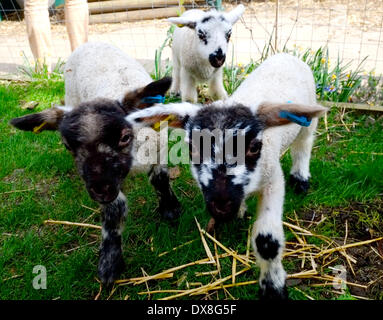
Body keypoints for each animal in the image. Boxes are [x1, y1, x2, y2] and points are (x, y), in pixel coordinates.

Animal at [127, 53, 328, 300]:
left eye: (253, 147)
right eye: (193, 148)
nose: (221, 206)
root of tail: (286, 55)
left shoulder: (273, 180)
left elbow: (267, 242)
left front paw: (273, 288)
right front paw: (239, 212)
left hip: (308, 120)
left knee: (303, 145)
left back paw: (300, 179)